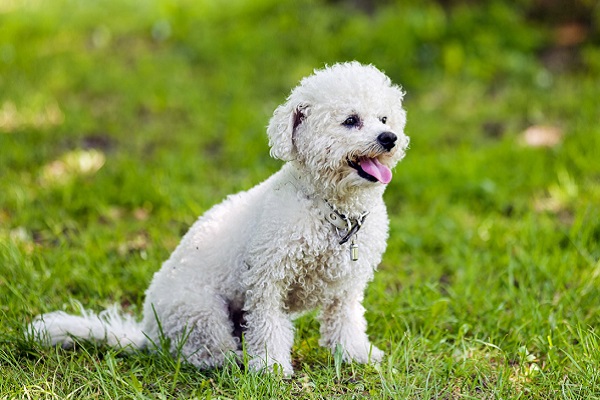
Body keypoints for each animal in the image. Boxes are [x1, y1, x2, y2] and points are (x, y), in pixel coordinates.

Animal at [30, 61, 410, 376]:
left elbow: (345, 322)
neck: (331, 208)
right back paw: (233, 360)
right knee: (203, 353)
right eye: (350, 120)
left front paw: (355, 354)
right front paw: (271, 368)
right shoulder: (267, 282)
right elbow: (268, 327)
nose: (389, 138)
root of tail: (147, 332)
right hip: (201, 311)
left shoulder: (346, 289)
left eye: (384, 119)